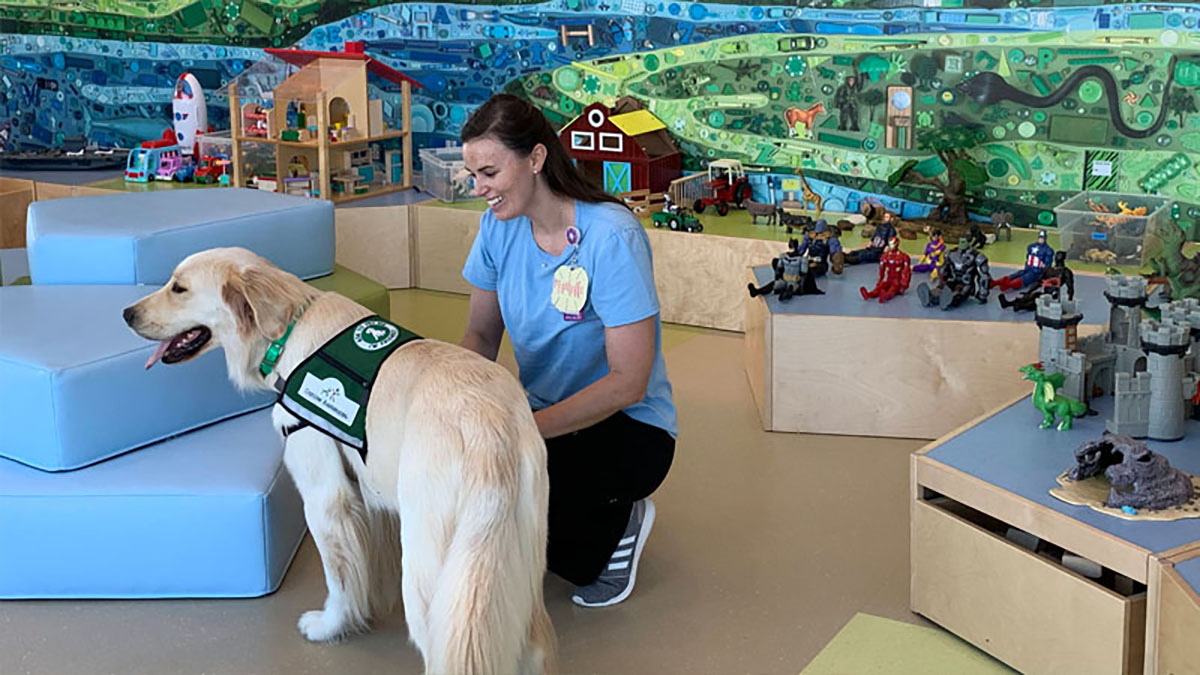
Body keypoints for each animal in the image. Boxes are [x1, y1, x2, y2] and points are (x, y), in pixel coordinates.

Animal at [121, 247, 552, 672]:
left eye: (179, 288)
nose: (126, 314)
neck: (286, 335)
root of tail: (490, 427)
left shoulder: (324, 496)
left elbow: (339, 576)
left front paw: (330, 625)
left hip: (431, 577)